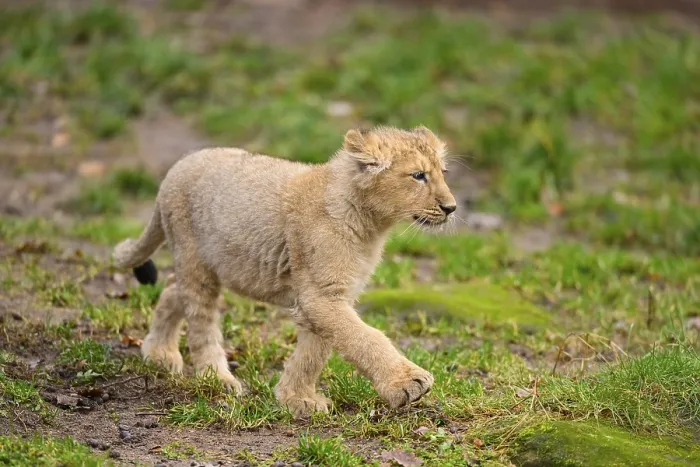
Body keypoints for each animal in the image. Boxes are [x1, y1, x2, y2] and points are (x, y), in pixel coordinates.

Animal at [112, 125, 457, 417]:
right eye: (418, 176)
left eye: (443, 173)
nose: (451, 207)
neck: (372, 224)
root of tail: (175, 169)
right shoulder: (321, 296)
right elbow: (365, 337)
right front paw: (408, 383)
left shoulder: (330, 295)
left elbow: (315, 351)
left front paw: (296, 398)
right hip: (195, 258)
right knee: (200, 320)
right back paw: (217, 379)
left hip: (201, 264)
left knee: (173, 289)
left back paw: (159, 353)